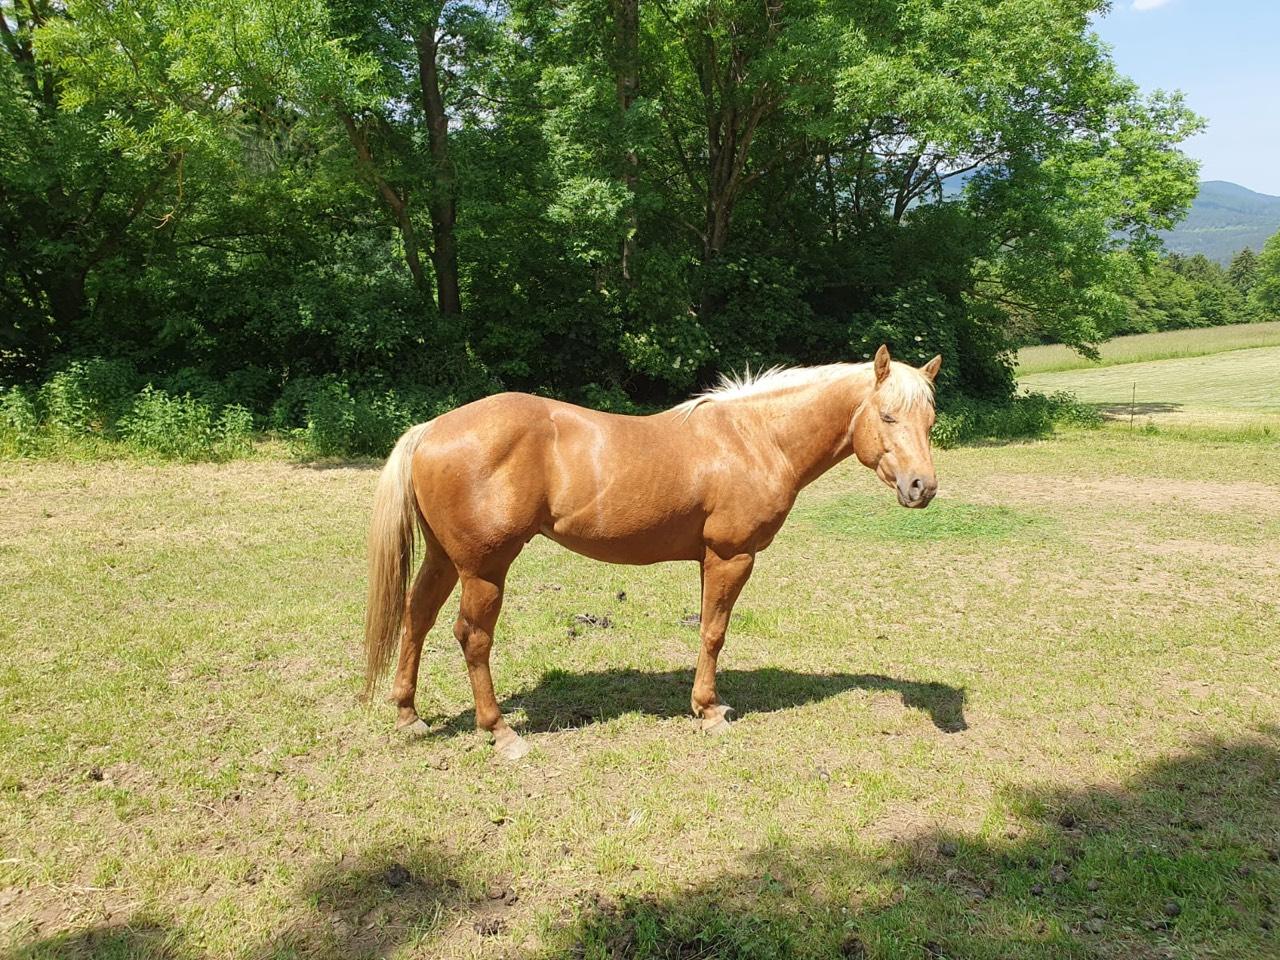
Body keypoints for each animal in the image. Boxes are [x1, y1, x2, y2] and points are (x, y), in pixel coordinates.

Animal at [363, 344, 942, 760]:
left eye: (930, 421)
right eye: (887, 416)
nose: (922, 487)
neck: (755, 439)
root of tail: (431, 429)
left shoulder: (710, 560)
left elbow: (708, 630)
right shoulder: (731, 557)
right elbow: (714, 633)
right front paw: (709, 712)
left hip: (444, 559)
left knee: (416, 618)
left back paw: (408, 714)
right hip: (484, 568)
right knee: (472, 638)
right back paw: (501, 732)